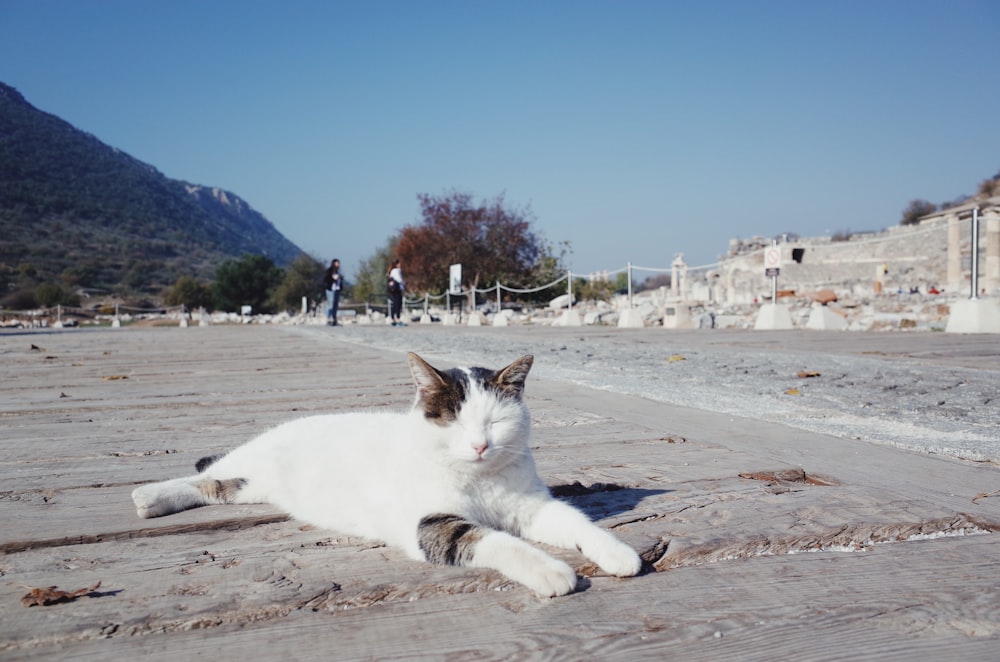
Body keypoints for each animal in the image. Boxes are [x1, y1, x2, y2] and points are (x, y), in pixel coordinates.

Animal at [133, 356, 640, 600]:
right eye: (454, 421)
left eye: (495, 422)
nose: (480, 445)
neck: (479, 479)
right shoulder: (433, 523)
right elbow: (497, 541)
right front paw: (551, 571)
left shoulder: (534, 507)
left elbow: (578, 524)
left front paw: (618, 553)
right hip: (248, 456)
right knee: (207, 472)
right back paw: (148, 495)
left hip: (250, 487)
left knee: (215, 488)